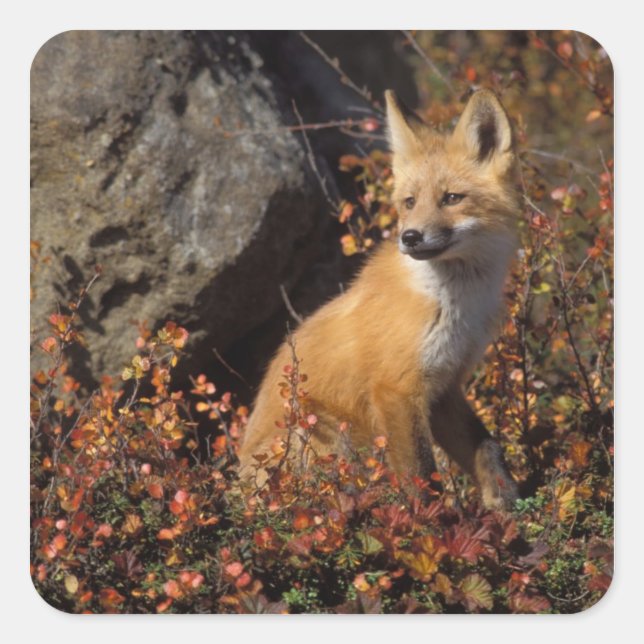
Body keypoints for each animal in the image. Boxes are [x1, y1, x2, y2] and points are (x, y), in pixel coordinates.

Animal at [237, 88, 520, 510]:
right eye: (409, 202)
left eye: (452, 198)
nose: (410, 237)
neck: (454, 304)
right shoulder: (396, 389)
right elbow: (423, 477)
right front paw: (437, 522)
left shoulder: (445, 385)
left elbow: (487, 448)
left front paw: (508, 504)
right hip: (323, 432)